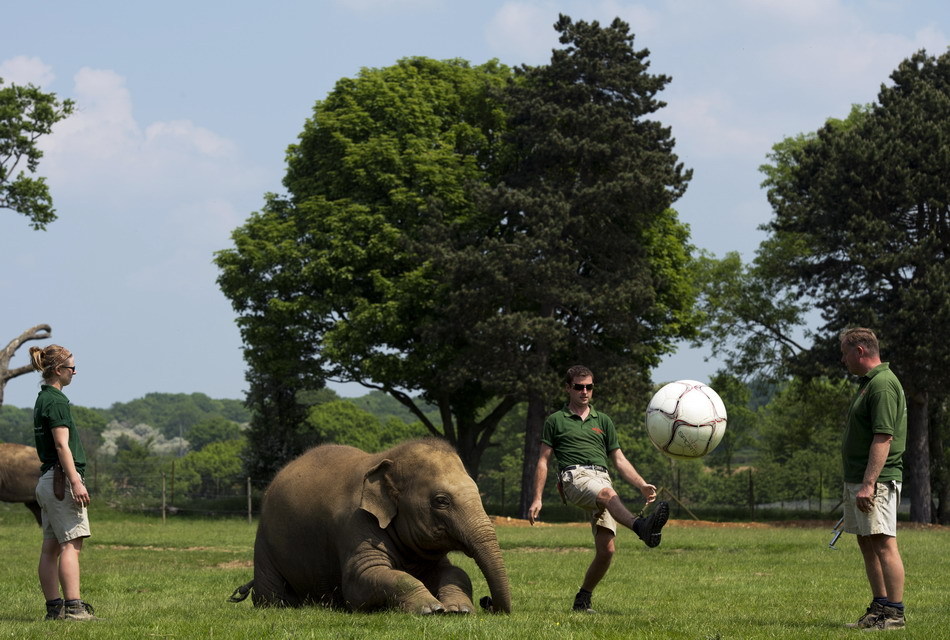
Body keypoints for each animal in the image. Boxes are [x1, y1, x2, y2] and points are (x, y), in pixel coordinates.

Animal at [231, 438, 512, 612]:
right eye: (441, 501)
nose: (488, 602)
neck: (388, 459)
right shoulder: (356, 524)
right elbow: (362, 579)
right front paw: (431, 608)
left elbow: (455, 571)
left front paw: (459, 609)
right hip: (266, 540)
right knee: (270, 592)